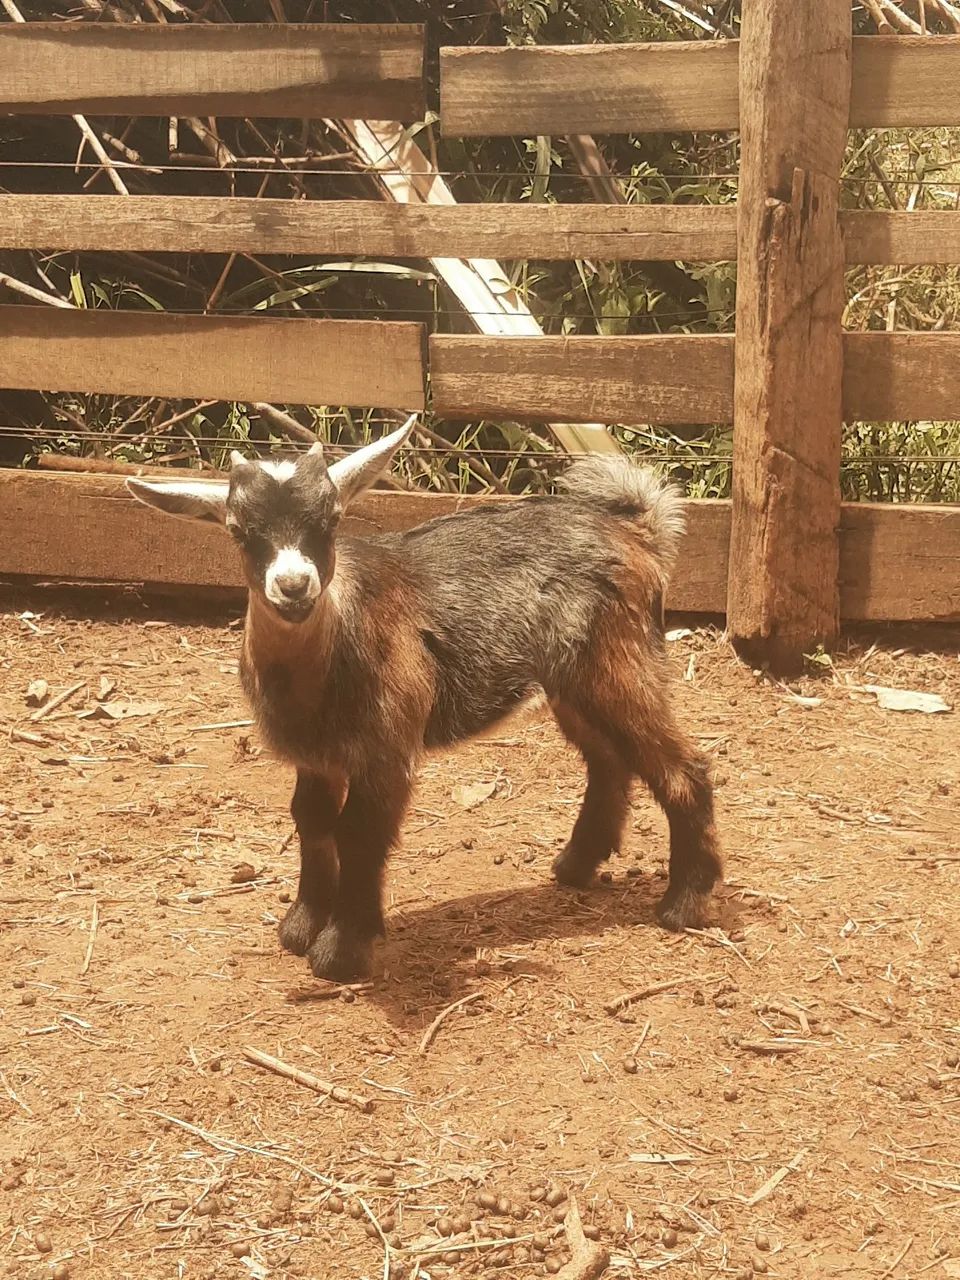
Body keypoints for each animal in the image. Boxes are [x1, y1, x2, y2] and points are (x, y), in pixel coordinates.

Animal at [128, 418, 721, 982]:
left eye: (331, 520)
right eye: (238, 530)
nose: (294, 586)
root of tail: (638, 531)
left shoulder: (387, 749)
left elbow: (360, 832)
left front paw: (343, 949)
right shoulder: (317, 758)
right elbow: (312, 820)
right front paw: (301, 926)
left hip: (618, 660)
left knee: (681, 767)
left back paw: (683, 903)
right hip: (573, 681)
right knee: (609, 760)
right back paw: (575, 867)